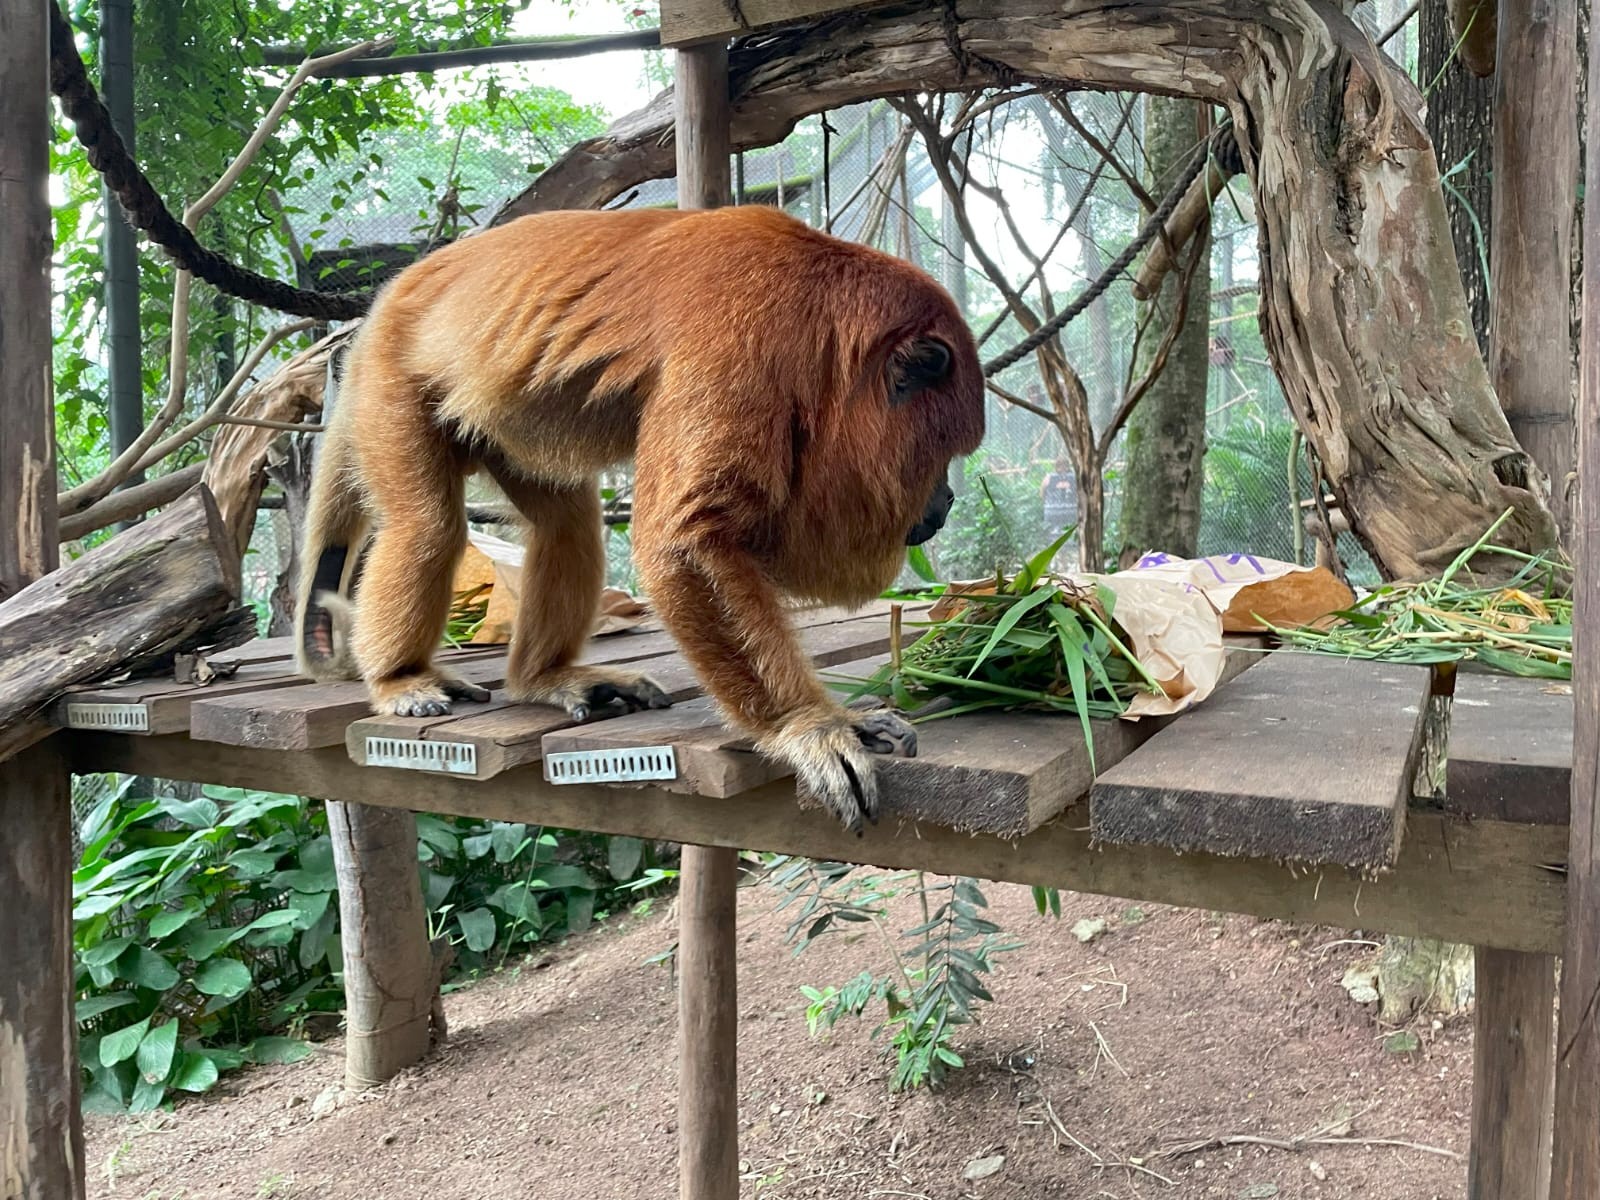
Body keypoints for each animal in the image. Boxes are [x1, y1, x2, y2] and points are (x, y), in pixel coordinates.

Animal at [294, 202, 979, 832]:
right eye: (944, 456)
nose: (945, 502)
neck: (825, 308)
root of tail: (382, 304)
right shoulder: (744, 332)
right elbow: (685, 543)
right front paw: (809, 726)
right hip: (392, 381)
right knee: (427, 526)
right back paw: (400, 678)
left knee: (566, 528)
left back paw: (544, 678)